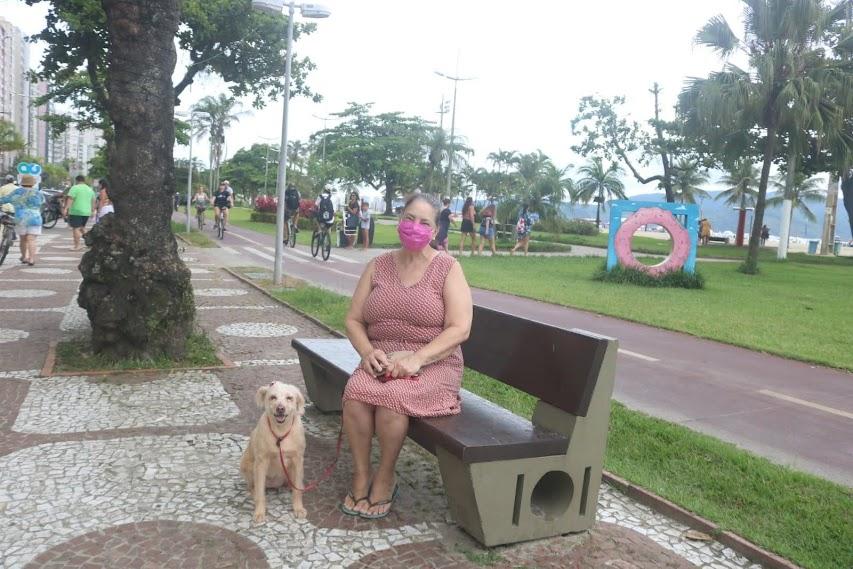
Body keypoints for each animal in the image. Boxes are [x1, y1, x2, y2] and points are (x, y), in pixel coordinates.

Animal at [240, 380, 306, 520]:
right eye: (273, 397)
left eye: (289, 398)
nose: (280, 408)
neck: (280, 432)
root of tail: (273, 484)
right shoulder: (261, 463)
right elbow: (260, 493)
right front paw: (259, 512)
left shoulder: (298, 460)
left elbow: (297, 491)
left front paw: (298, 508)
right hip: (246, 466)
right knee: (252, 486)